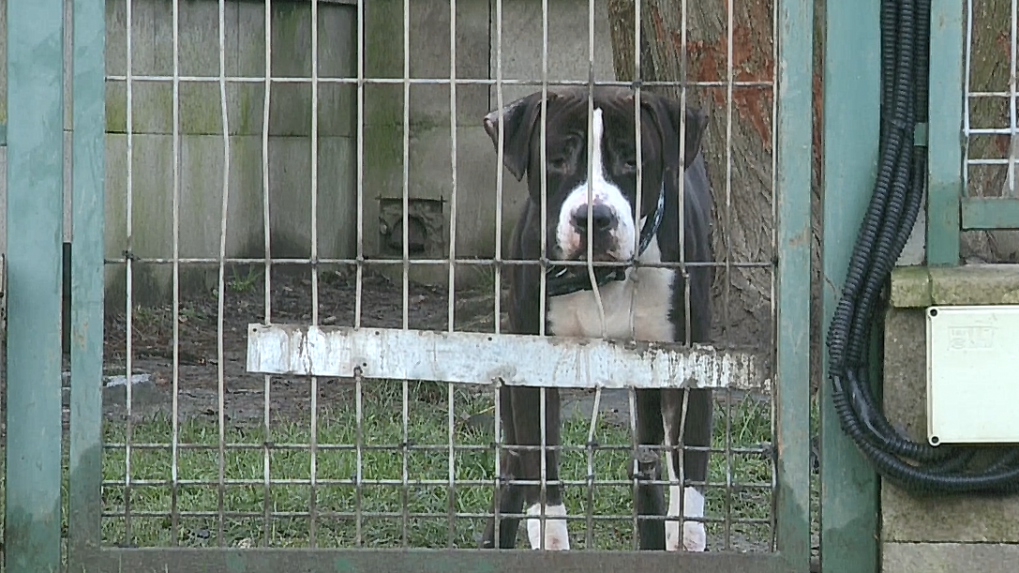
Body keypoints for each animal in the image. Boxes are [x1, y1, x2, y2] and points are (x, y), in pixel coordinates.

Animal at [478, 87, 717, 550]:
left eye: (632, 160)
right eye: (557, 159)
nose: (594, 217)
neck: (600, 277)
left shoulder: (690, 368)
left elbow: (688, 487)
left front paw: (684, 538)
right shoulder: (533, 372)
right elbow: (542, 479)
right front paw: (551, 537)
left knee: (646, 468)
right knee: (514, 467)